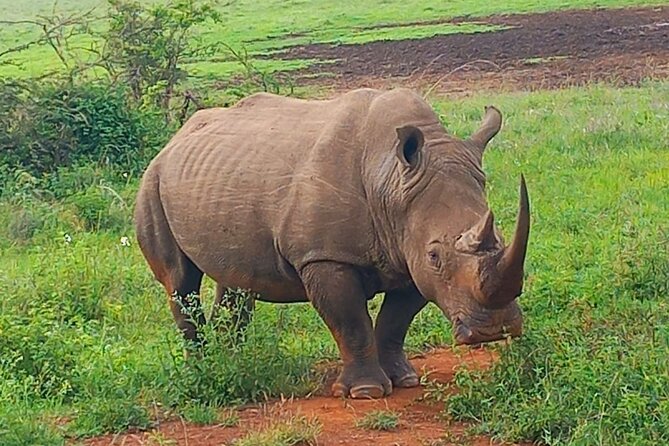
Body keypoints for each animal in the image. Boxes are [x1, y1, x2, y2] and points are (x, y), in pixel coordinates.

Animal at [134, 88, 530, 399]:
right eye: (435, 255)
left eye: (501, 238)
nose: (493, 331)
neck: (390, 181)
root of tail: (174, 139)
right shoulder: (325, 256)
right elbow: (350, 321)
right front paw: (366, 392)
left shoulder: (408, 254)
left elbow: (395, 322)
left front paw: (404, 380)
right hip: (152, 180)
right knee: (179, 280)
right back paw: (202, 368)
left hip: (219, 177)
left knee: (235, 281)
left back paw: (231, 361)